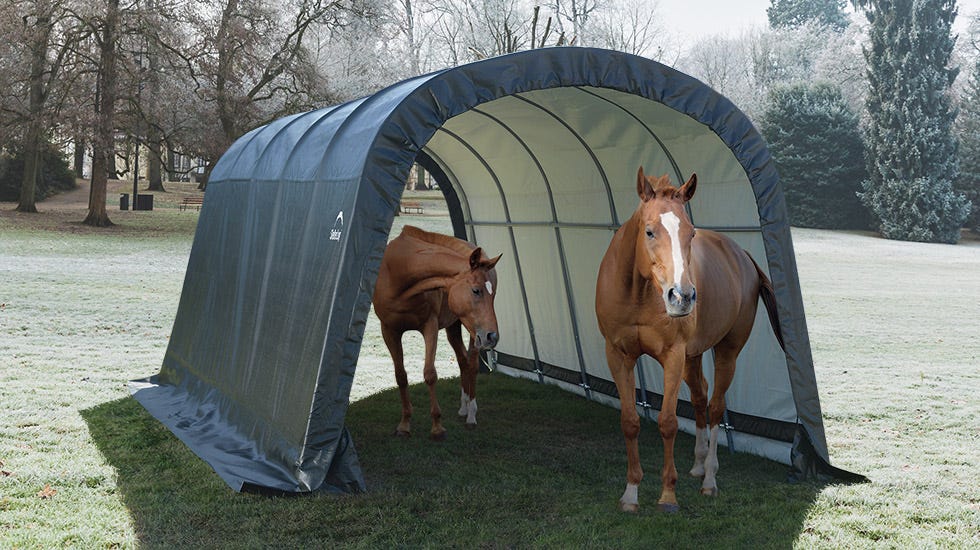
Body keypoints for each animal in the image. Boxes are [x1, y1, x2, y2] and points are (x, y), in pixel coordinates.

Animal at [372, 226, 502, 442]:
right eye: (476, 290)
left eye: (493, 296)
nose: (493, 336)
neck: (399, 272)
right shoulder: (389, 331)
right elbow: (401, 376)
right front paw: (404, 424)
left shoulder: (429, 327)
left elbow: (430, 374)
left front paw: (437, 427)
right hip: (455, 327)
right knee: (462, 361)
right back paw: (464, 408)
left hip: (473, 332)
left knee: (472, 364)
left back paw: (471, 414)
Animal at [592, 168, 784, 512]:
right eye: (650, 231)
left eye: (691, 234)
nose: (681, 296)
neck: (639, 293)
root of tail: (743, 256)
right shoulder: (618, 355)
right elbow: (630, 422)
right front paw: (631, 493)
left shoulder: (673, 355)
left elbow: (668, 422)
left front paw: (668, 495)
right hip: (693, 358)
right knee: (699, 397)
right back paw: (697, 464)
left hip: (727, 351)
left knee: (716, 405)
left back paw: (709, 478)